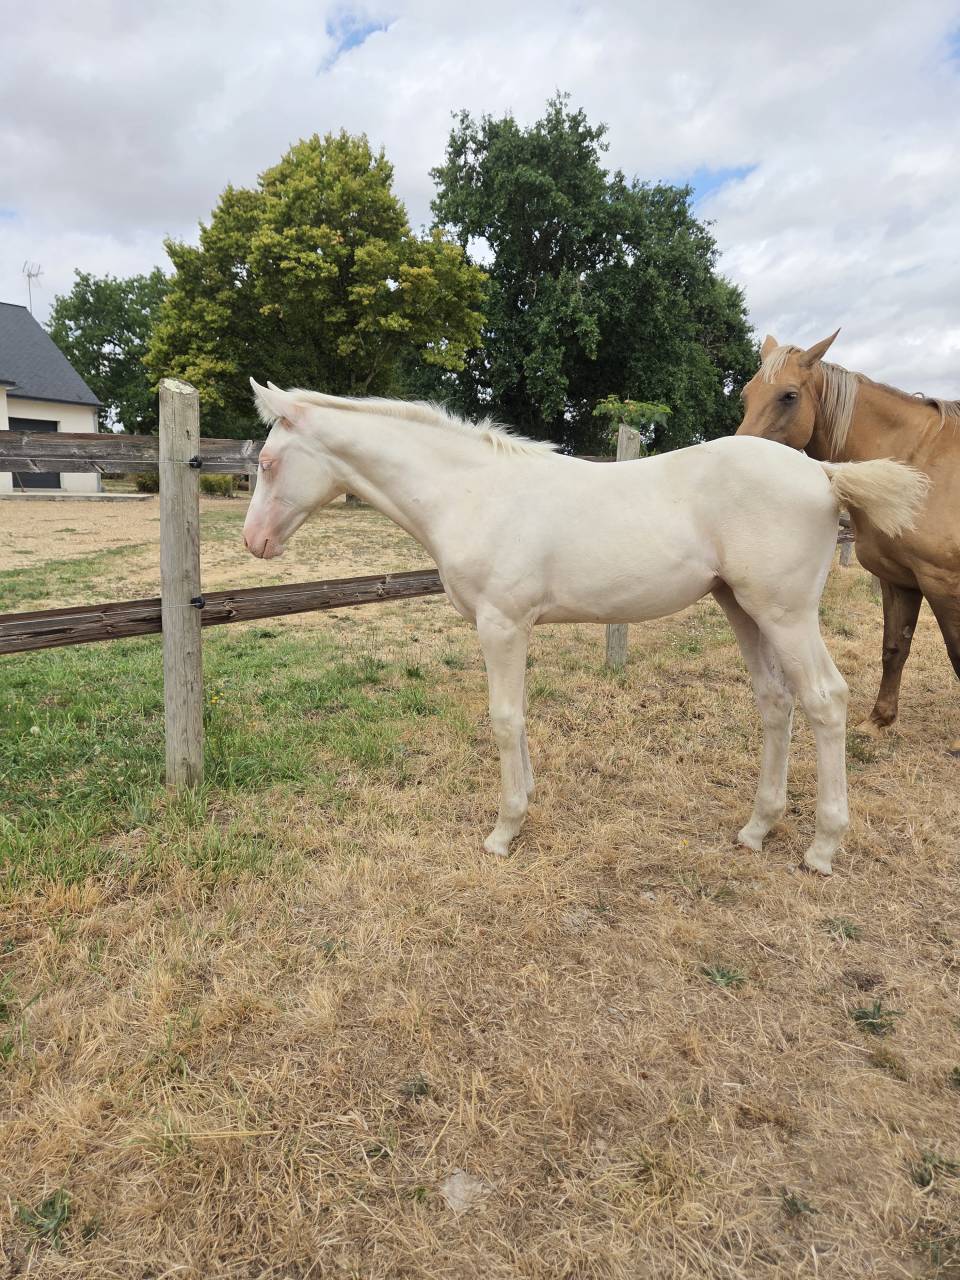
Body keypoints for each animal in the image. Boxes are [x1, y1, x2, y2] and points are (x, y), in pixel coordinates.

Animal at [243, 380, 927, 875]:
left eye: (269, 462)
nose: (254, 542)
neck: (471, 491)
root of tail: (824, 475)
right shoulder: (515, 627)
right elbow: (518, 716)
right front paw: (524, 807)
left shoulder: (501, 624)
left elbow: (504, 718)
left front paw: (504, 830)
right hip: (742, 608)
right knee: (775, 701)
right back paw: (758, 828)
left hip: (785, 614)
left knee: (825, 700)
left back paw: (822, 848)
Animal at [737, 332, 958, 751]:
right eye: (745, 394)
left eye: (789, 396)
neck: (917, 467)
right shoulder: (899, 580)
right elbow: (894, 648)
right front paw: (878, 720)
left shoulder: (944, 584)